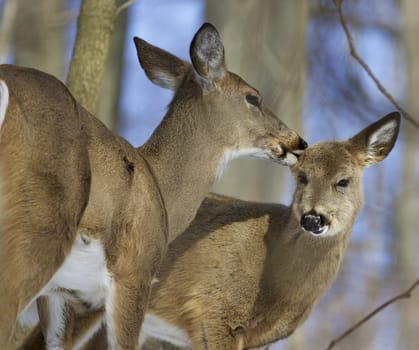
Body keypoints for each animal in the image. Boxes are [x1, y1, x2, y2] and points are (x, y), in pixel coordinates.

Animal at [0, 22, 308, 350]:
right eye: (253, 98)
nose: (299, 142)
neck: (160, 187)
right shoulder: (136, 270)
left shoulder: (60, 292)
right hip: (38, 226)